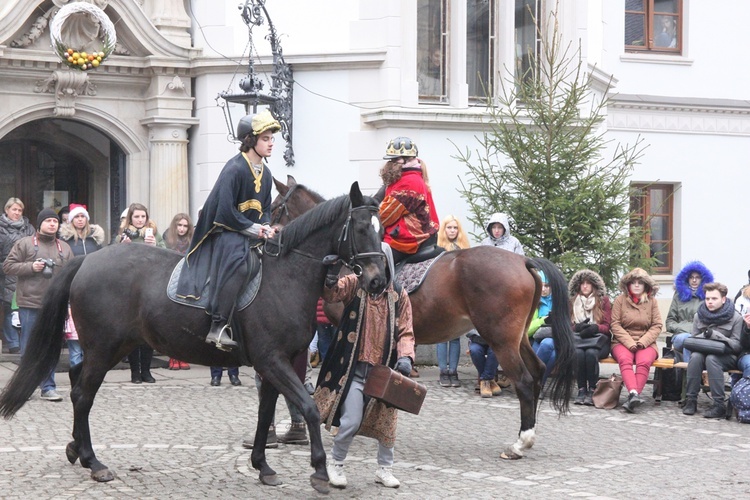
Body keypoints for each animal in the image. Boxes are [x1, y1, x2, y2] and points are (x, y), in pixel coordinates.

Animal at [0, 183, 388, 492]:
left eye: (382, 229)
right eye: (360, 228)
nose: (378, 281)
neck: (286, 274)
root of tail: (87, 261)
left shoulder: (276, 364)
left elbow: (265, 413)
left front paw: (263, 466)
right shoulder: (273, 360)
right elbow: (308, 408)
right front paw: (320, 471)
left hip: (112, 347)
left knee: (79, 385)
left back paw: (75, 450)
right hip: (104, 347)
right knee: (83, 395)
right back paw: (94, 461)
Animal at [274, 176, 580, 460]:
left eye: (277, 206)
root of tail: (523, 261)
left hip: (501, 340)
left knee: (525, 381)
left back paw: (520, 442)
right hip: (517, 338)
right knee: (539, 370)